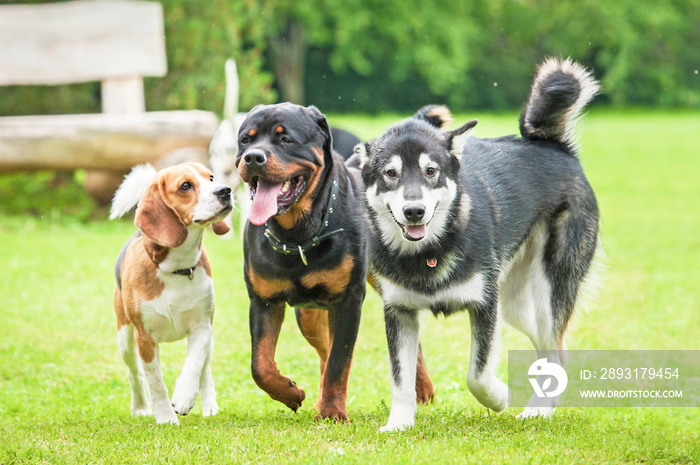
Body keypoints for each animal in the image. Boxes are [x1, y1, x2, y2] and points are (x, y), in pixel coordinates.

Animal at [110, 161, 232, 422]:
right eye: (185, 186)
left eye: (211, 177)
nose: (225, 190)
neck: (177, 267)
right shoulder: (144, 338)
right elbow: (155, 382)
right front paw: (166, 417)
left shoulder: (203, 326)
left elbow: (194, 364)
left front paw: (184, 396)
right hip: (125, 340)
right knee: (134, 374)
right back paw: (140, 407)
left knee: (205, 370)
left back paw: (209, 406)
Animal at [234, 102, 372, 420]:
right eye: (245, 140)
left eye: (285, 139)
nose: (253, 157)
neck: (296, 233)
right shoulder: (263, 300)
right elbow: (260, 364)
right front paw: (290, 392)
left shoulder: (348, 299)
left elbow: (339, 361)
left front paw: (332, 411)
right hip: (308, 314)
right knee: (323, 352)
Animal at [356, 59, 600, 432]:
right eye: (390, 174)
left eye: (431, 171)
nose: (414, 211)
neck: (431, 251)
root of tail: (555, 147)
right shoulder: (399, 311)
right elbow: (401, 379)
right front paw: (398, 425)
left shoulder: (485, 306)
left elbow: (477, 374)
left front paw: (499, 397)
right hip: (514, 305)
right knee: (555, 349)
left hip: (545, 294)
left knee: (555, 348)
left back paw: (538, 410)